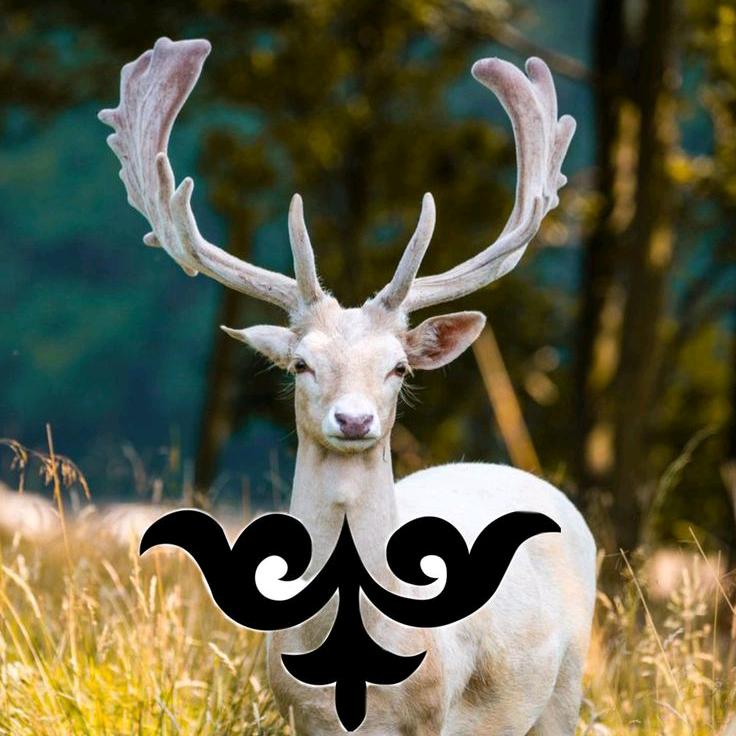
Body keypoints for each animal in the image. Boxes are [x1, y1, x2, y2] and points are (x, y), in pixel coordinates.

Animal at [99, 37, 596, 736]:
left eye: (399, 367)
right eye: (301, 364)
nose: (355, 420)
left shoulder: (436, 714)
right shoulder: (298, 712)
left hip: (566, 685)